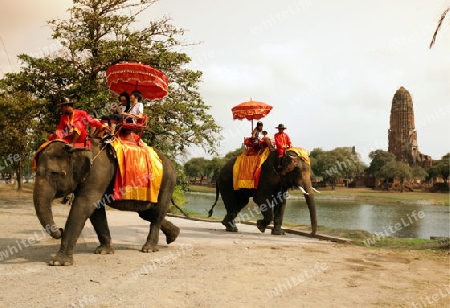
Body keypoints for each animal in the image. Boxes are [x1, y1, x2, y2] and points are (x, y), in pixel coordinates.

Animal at [32, 138, 180, 266]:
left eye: (54, 173)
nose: (60, 230)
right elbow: (96, 210)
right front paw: (104, 251)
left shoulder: (98, 173)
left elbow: (84, 205)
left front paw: (59, 262)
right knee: (147, 213)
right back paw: (174, 235)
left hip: (167, 183)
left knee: (157, 212)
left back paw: (149, 248)